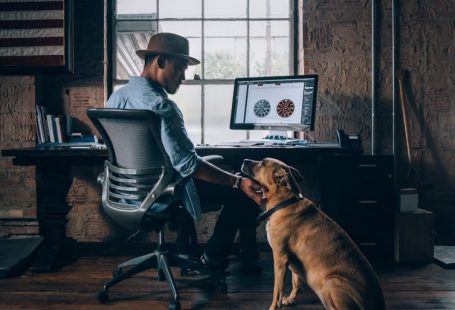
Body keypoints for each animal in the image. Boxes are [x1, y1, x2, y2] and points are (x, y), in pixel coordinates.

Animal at [240, 159, 386, 308]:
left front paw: (273, 307)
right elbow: (296, 282)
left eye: (262, 163)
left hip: (331, 282)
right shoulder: (292, 261)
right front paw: (291, 299)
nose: (244, 160)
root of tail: (378, 304)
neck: (285, 203)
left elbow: (277, 290)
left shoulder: (280, 259)